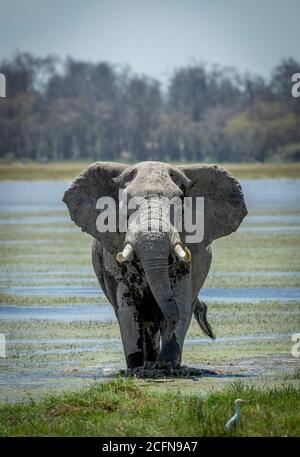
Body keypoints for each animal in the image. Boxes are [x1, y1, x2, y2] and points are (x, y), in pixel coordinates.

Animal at [62, 162, 246, 368]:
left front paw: (167, 366)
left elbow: (181, 299)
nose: (204, 309)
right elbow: (126, 307)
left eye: (178, 206)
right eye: (127, 207)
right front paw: (136, 367)